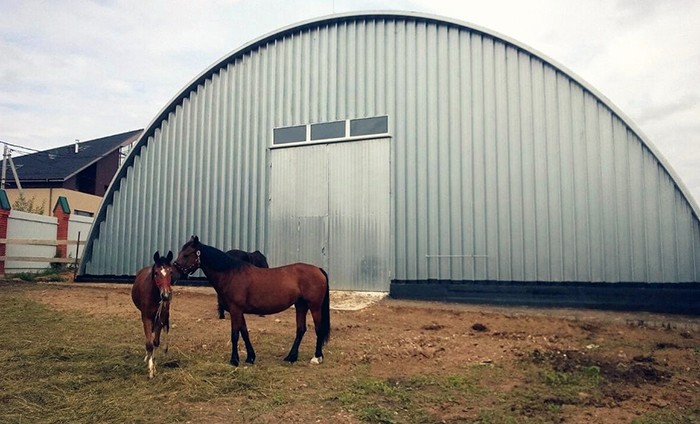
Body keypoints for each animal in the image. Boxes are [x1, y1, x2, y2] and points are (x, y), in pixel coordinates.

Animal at [132, 250, 174, 380]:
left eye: (171, 272)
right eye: (156, 273)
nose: (166, 295)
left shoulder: (160, 318)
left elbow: (155, 342)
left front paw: (154, 366)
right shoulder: (146, 317)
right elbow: (149, 343)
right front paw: (150, 370)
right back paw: (147, 357)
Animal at [174, 237, 330, 366]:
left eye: (186, 254)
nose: (174, 272)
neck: (231, 275)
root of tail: (318, 269)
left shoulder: (236, 310)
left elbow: (235, 334)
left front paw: (234, 360)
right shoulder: (238, 311)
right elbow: (244, 332)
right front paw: (250, 357)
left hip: (314, 306)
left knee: (318, 329)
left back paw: (317, 357)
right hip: (300, 305)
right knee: (301, 329)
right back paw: (291, 357)